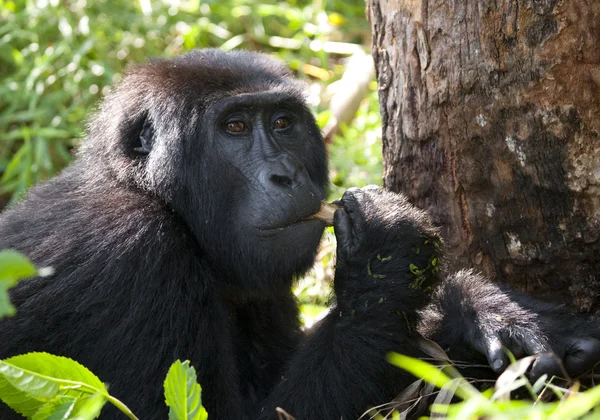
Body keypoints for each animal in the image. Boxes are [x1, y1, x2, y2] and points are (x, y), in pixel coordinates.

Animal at [1, 50, 600, 420]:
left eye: (283, 123)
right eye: (235, 127)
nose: (286, 175)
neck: (152, 196)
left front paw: (483, 310)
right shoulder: (132, 255)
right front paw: (387, 263)